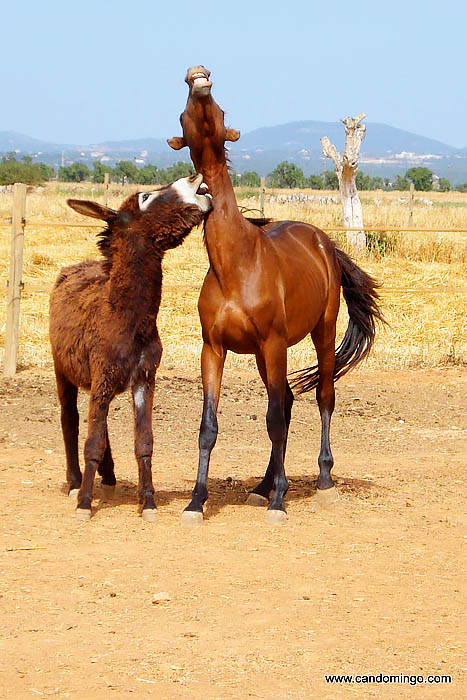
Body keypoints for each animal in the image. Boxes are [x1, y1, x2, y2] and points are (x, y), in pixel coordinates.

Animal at [49, 176, 210, 520]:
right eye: (145, 197)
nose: (195, 179)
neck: (126, 318)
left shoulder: (143, 380)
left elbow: (143, 442)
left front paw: (147, 501)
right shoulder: (102, 376)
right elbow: (91, 442)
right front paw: (85, 502)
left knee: (99, 423)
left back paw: (107, 474)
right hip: (63, 372)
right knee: (71, 421)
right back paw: (75, 482)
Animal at [168, 67, 384, 524]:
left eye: (219, 109)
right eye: (183, 114)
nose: (198, 76)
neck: (235, 264)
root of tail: (323, 242)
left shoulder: (272, 342)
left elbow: (274, 420)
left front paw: (281, 501)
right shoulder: (213, 349)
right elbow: (209, 426)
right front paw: (197, 501)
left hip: (319, 333)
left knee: (321, 397)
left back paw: (322, 481)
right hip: (264, 354)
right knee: (284, 401)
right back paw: (263, 485)